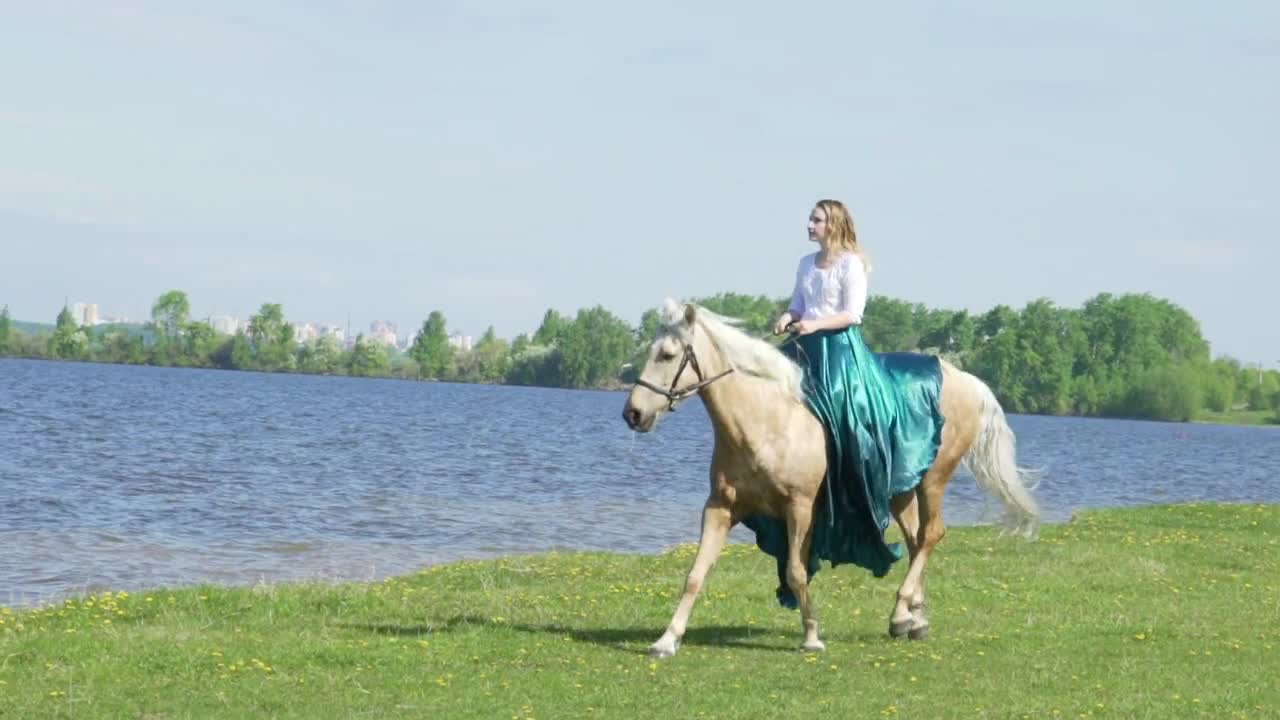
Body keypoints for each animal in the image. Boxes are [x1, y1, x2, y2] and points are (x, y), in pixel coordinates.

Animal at [622, 297, 1039, 655]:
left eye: (667, 355)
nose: (633, 414)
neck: (765, 420)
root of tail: (966, 379)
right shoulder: (720, 507)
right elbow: (695, 574)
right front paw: (666, 640)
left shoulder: (800, 508)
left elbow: (796, 572)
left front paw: (811, 636)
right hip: (901, 492)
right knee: (916, 540)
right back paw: (913, 618)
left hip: (933, 481)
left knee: (932, 535)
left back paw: (900, 612)